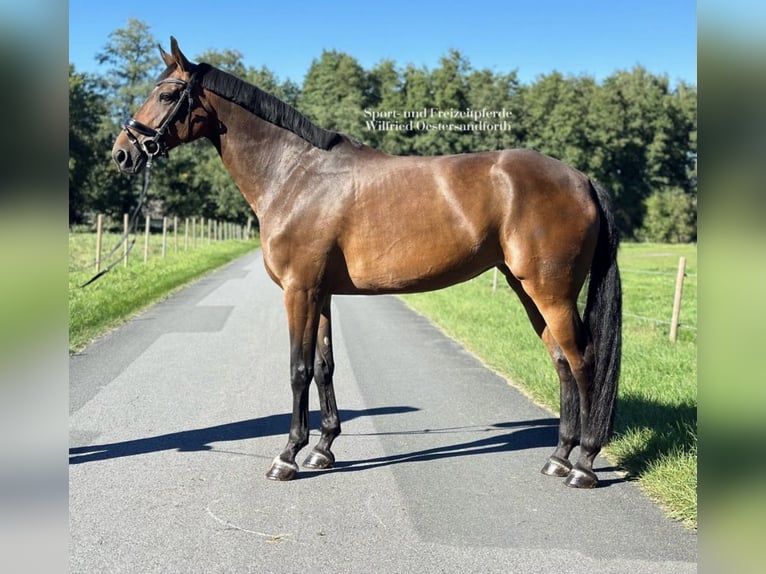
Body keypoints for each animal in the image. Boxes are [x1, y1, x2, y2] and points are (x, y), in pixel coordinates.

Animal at [112, 38, 624, 490]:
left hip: (551, 292)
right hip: (529, 290)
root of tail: (580, 178)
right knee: (561, 361)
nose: (123, 152)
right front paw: (322, 449)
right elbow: (324, 366)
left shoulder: (298, 290)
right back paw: (558, 457)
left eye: (167, 94)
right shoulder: (320, 293)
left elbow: (298, 369)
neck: (295, 175)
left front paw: (287, 456)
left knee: (584, 363)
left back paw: (584, 464)